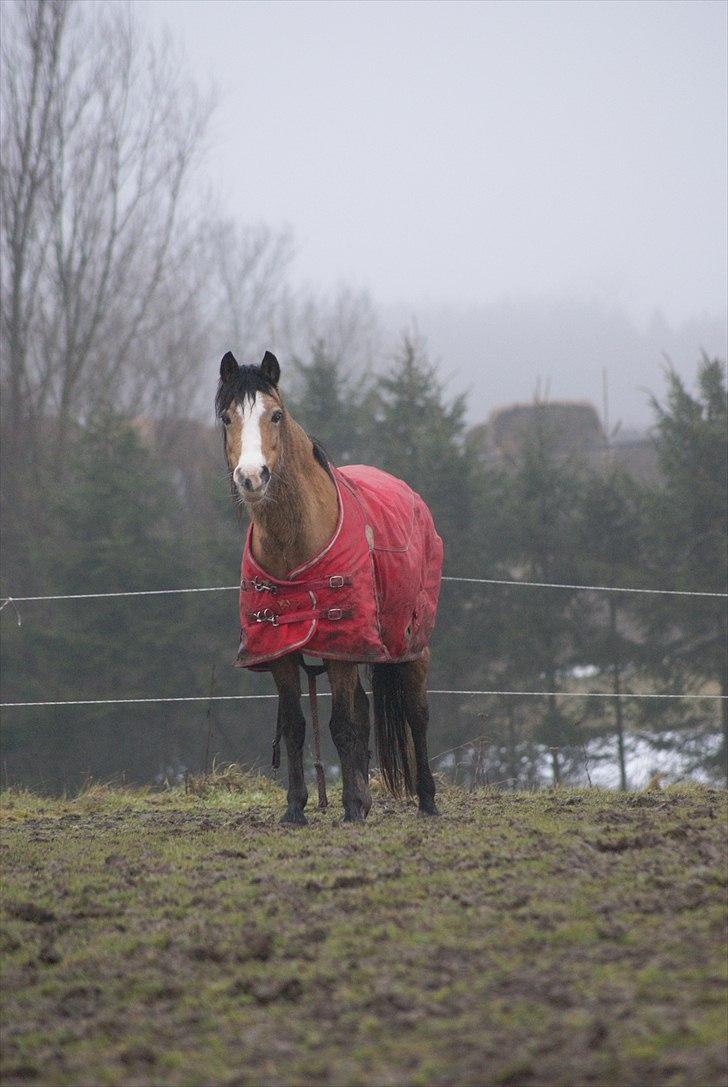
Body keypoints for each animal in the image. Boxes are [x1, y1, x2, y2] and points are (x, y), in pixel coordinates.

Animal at [216, 349, 443, 824]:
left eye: (276, 415)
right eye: (227, 418)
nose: (251, 477)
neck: (295, 543)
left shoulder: (342, 644)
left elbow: (342, 724)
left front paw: (353, 807)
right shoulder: (281, 650)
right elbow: (295, 726)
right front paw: (296, 808)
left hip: (411, 644)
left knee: (417, 713)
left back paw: (427, 801)